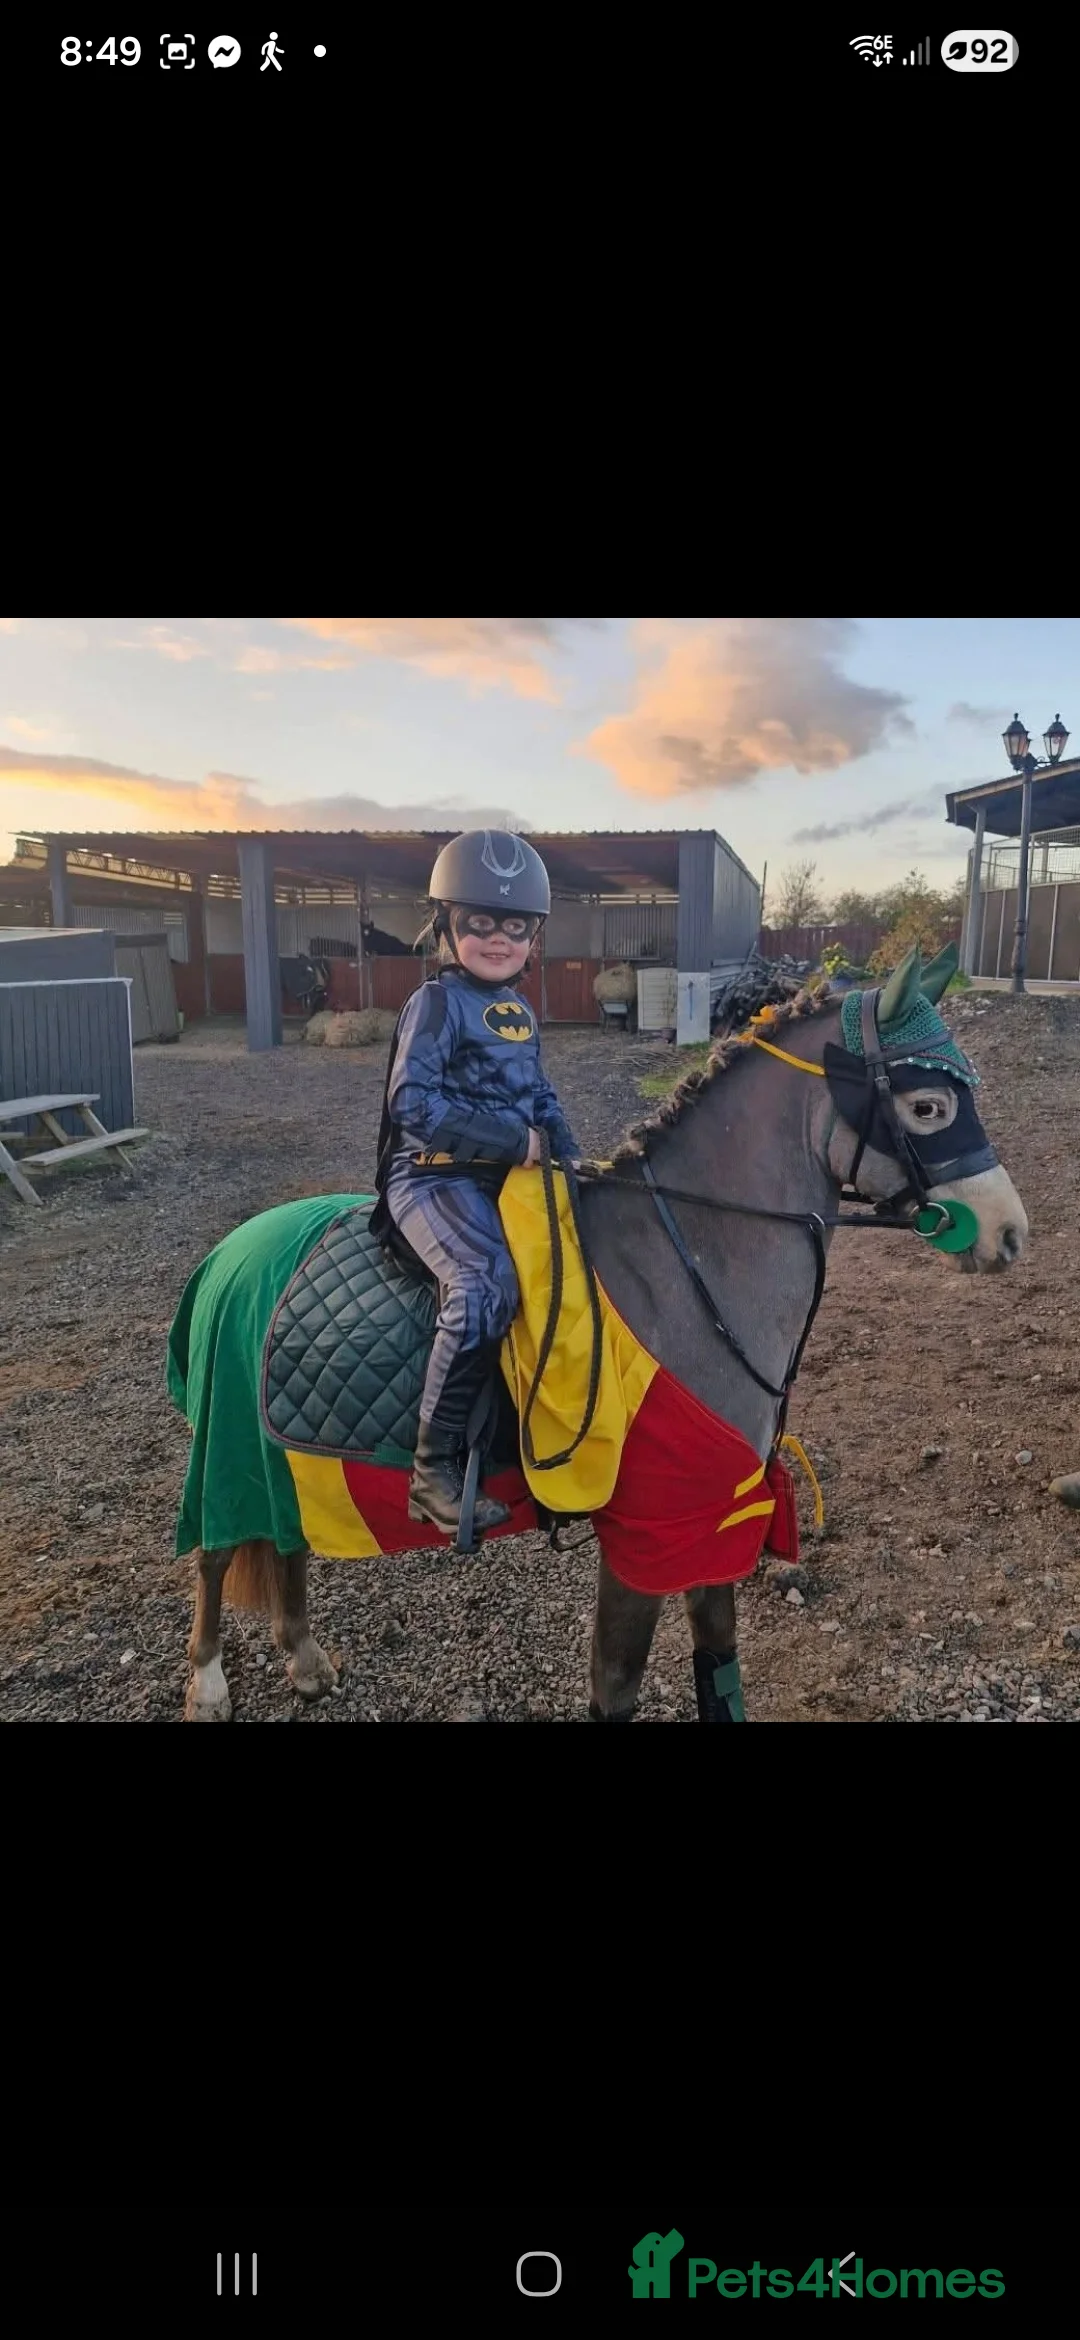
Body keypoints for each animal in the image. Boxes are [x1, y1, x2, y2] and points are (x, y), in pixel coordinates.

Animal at [176, 948, 1029, 1722]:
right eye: (928, 1106)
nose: (1009, 1232)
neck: (681, 1262)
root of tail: (234, 1250)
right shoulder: (650, 1533)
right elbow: (616, 1688)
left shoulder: (710, 1515)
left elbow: (719, 1663)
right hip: (228, 1446)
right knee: (216, 1553)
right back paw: (208, 1680)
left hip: (276, 1458)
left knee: (282, 1539)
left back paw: (303, 1655)